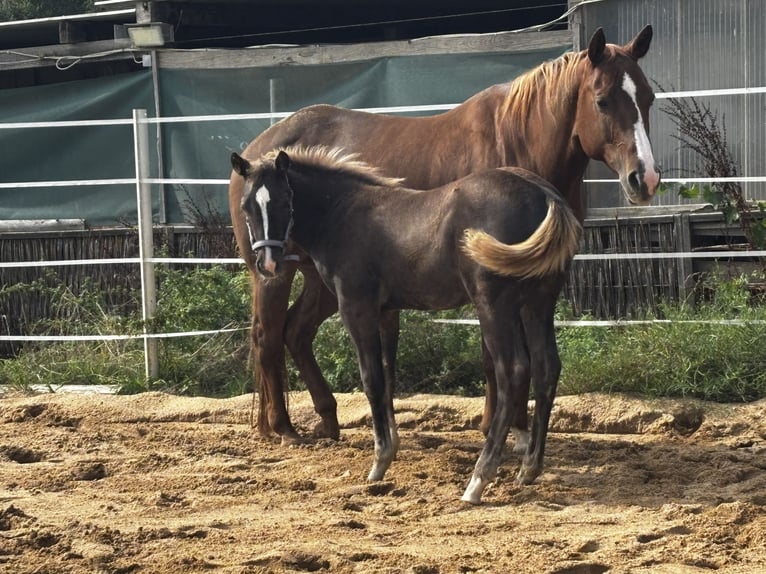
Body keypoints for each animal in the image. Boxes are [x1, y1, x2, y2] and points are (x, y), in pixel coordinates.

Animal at [228, 26, 660, 445]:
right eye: (602, 101)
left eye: (649, 98)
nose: (646, 178)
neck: (518, 142)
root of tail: (256, 152)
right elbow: (493, 356)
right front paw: (499, 427)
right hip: (273, 270)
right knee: (267, 336)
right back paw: (283, 428)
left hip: (321, 278)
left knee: (297, 332)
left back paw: (326, 420)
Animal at [230, 146, 582, 504]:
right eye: (246, 206)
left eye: (284, 200)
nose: (268, 264)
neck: (343, 213)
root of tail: (544, 194)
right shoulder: (387, 311)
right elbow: (388, 376)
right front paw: (391, 448)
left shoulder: (356, 308)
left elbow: (371, 379)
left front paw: (379, 461)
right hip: (538, 304)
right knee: (546, 368)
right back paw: (529, 468)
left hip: (494, 305)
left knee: (512, 371)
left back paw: (478, 480)